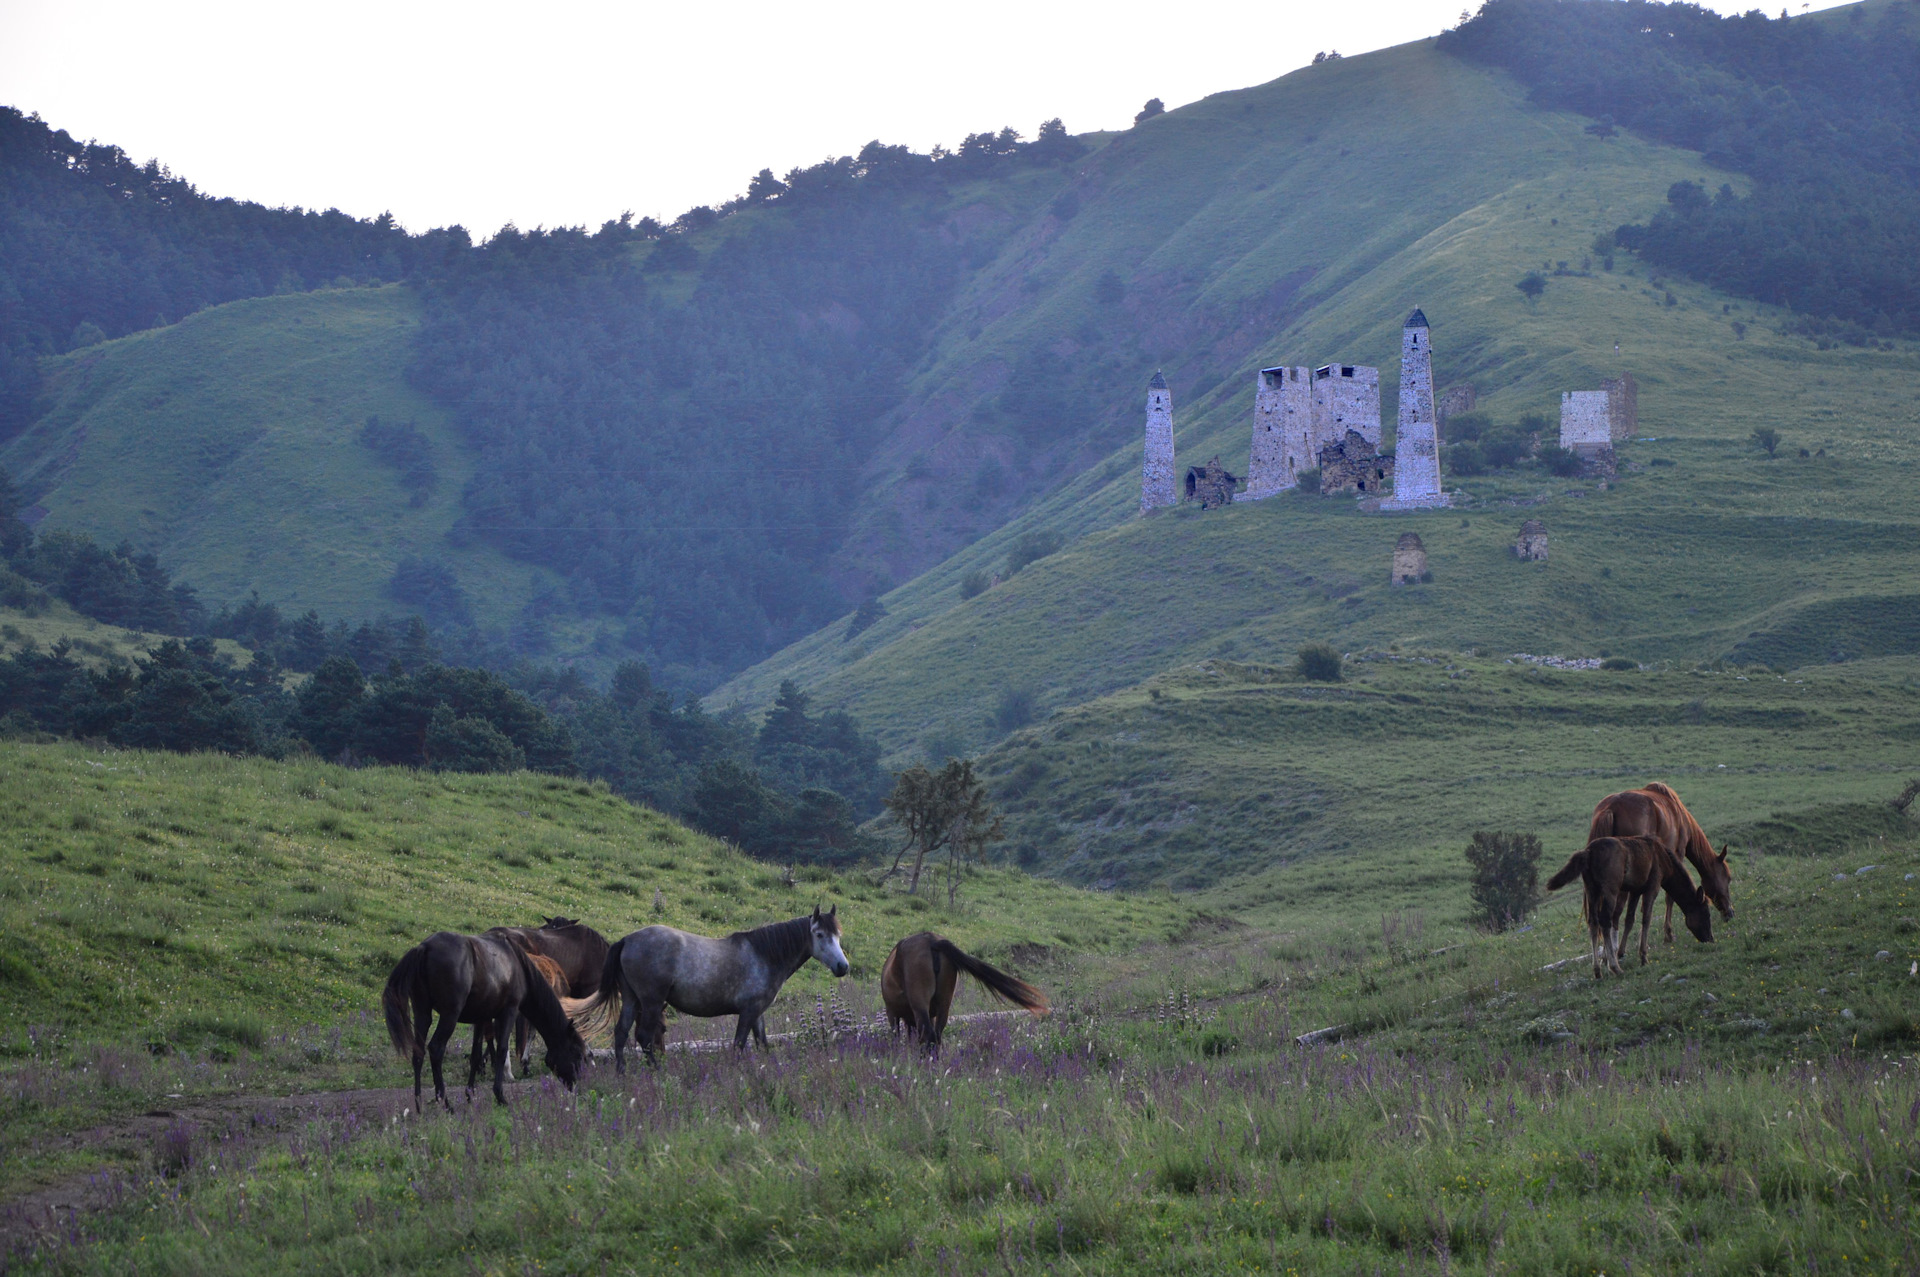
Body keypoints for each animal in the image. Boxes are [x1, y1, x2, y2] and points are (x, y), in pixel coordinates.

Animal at [376, 925, 579, 1106]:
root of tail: (424, 947)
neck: (517, 963)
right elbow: (501, 1049)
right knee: (435, 1049)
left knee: (418, 1052)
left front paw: (470, 1094)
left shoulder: (482, 1018)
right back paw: (446, 1103)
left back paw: (418, 1104)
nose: (578, 1083)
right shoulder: (509, 1011)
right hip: (449, 1015)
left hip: (422, 1012)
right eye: (576, 1052)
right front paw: (500, 1095)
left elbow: (475, 1055)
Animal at [591, 902, 848, 1067]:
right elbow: (739, 1045)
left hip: (631, 999)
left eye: (838, 935)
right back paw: (657, 1071)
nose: (842, 967)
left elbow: (763, 1044)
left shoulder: (757, 1013)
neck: (764, 955)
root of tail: (627, 940)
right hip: (651, 1002)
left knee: (621, 1033)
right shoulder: (748, 1012)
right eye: (819, 934)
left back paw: (622, 1073)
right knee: (644, 1037)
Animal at [883, 925, 1052, 1044]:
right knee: (937, 1035)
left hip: (920, 1003)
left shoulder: (892, 1013)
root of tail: (932, 942)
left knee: (928, 1035)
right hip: (944, 1002)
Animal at [1551, 837, 1720, 975]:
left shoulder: (1635, 890)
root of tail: (1588, 852)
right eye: (1706, 913)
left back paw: (1597, 970)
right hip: (1610, 890)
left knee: (1593, 922)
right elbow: (1646, 918)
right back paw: (1615, 968)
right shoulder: (1652, 886)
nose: (1710, 939)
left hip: (1591, 889)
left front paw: (1621, 952)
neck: (1667, 865)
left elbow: (1629, 920)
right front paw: (1643, 957)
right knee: (1605, 920)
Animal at [1582, 775, 1735, 937]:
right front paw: (1668, 934)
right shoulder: (1678, 854)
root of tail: (1611, 808)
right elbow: (1669, 897)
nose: (1730, 913)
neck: (1680, 816)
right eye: (1728, 878)